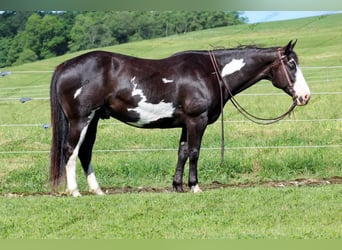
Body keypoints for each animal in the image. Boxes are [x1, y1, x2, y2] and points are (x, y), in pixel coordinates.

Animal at [50, 40, 310, 196]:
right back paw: (74, 191)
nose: (305, 96)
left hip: (93, 120)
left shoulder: (186, 123)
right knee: (70, 150)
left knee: (85, 152)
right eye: (291, 64)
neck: (211, 72)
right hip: (81, 120)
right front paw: (194, 186)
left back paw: (97, 191)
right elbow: (194, 152)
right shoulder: (197, 120)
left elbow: (182, 152)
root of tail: (64, 65)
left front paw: (177, 186)